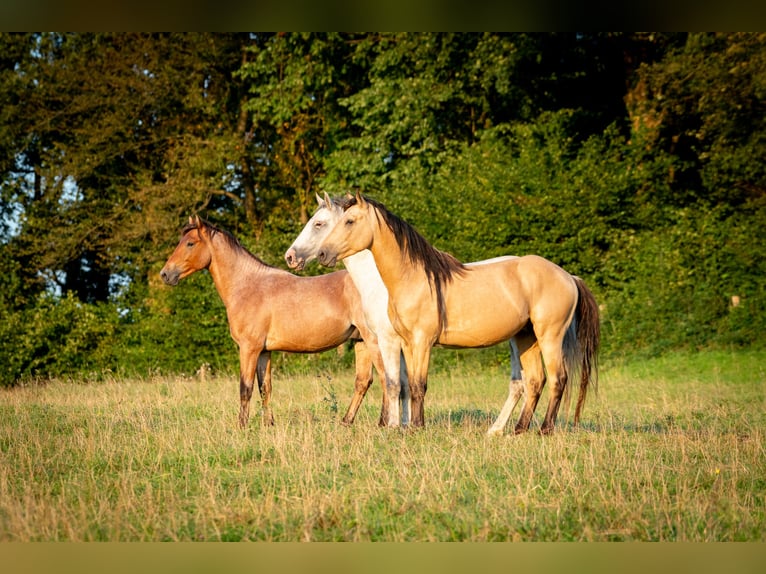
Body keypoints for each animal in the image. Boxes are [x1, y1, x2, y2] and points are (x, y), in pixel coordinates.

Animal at [162, 217, 390, 432]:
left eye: (190, 243)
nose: (165, 274)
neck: (248, 285)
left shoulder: (249, 348)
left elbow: (245, 388)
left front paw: (242, 426)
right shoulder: (264, 351)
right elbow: (265, 388)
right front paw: (268, 424)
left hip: (373, 341)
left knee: (386, 378)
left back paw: (384, 423)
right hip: (361, 342)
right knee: (363, 381)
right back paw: (346, 422)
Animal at [284, 194, 524, 432]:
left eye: (319, 223)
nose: (290, 257)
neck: (382, 284)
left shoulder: (386, 339)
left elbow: (394, 383)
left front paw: (390, 424)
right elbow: (405, 384)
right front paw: (405, 424)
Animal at [316, 195, 600, 436]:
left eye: (349, 221)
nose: (322, 254)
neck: (414, 278)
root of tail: (569, 277)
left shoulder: (422, 343)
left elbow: (419, 385)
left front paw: (416, 427)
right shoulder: (407, 344)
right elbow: (408, 385)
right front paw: (410, 426)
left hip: (549, 337)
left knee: (557, 379)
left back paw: (544, 430)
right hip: (526, 338)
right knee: (534, 381)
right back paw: (518, 430)